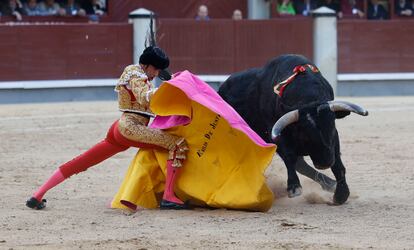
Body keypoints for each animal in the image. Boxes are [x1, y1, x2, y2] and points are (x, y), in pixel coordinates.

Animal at [218, 54, 368, 205]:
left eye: (331, 128)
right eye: (305, 134)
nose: (324, 163)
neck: (308, 98)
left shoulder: (333, 139)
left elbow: (337, 162)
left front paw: (341, 194)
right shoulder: (276, 133)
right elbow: (290, 157)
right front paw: (294, 187)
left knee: (301, 164)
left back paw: (330, 184)